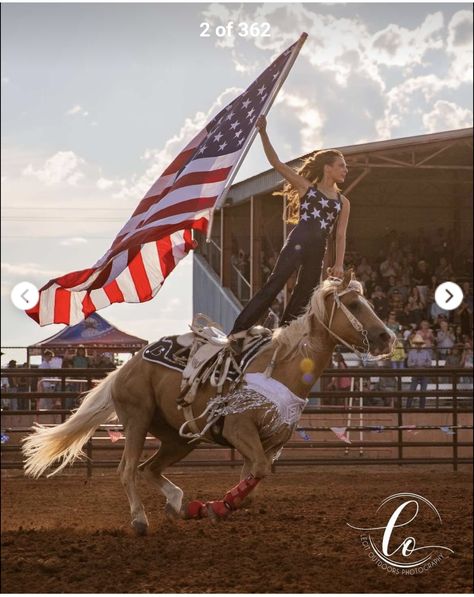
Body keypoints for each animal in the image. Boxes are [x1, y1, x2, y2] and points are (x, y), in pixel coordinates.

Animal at [23, 272, 392, 532]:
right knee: (127, 469)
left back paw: (179, 506)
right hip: (137, 420)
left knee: (149, 468)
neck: (281, 368)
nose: (387, 337)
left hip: (180, 438)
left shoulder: (269, 443)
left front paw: (214, 507)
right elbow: (257, 472)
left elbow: (253, 482)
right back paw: (141, 520)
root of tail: (126, 367)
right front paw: (216, 507)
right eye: (354, 304)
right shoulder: (239, 430)